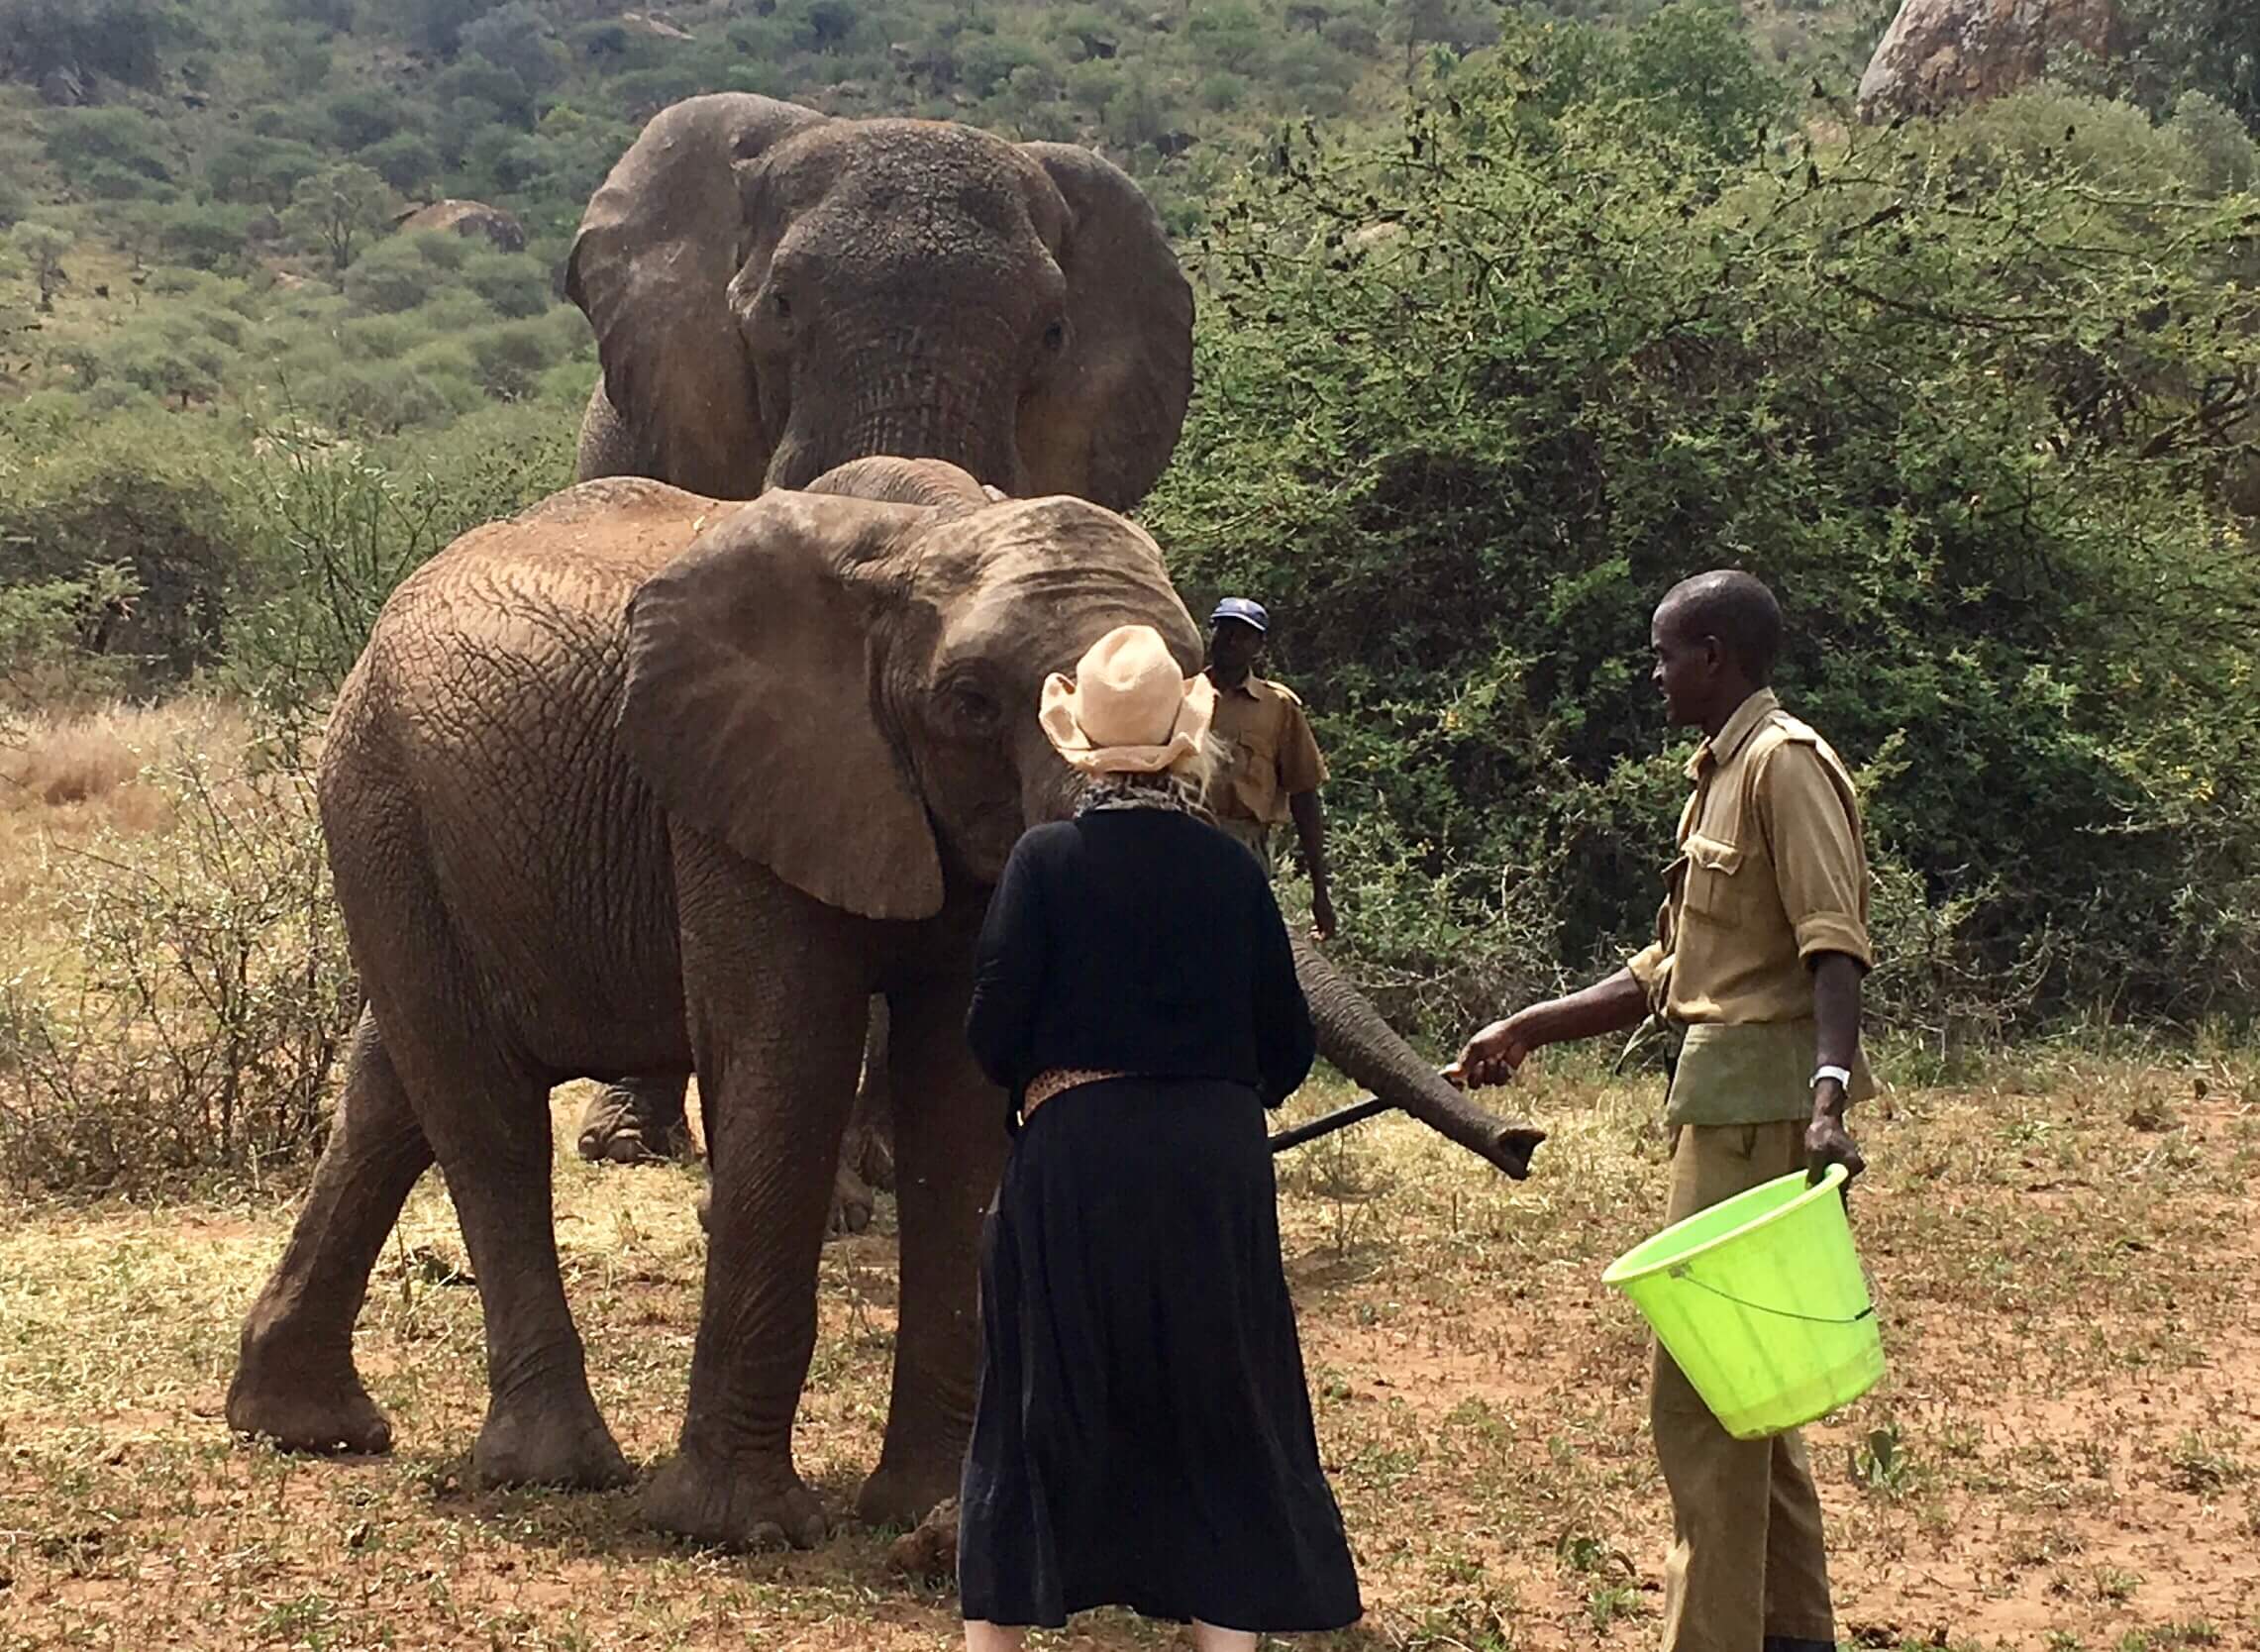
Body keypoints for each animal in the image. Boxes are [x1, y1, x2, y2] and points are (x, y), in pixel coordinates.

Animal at [224, 457, 1540, 1548]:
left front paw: (929, 1521)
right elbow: (789, 1061)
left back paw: (305, 1426)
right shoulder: (739, 791)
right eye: (967, 705)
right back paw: (559, 1473)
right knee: (480, 1107)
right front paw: (740, 1533)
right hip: (381, 791)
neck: (921, 541)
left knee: (388, 1090)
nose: (1522, 1135)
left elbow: (956, 1098)